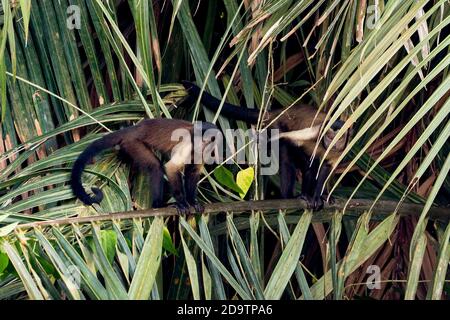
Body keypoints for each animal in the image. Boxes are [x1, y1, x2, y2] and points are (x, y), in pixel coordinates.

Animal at [70, 118, 220, 215]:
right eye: (198, 139)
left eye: (205, 140)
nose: (200, 144)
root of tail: (134, 129)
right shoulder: (188, 142)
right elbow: (171, 168)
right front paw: (182, 203)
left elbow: (193, 171)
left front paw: (192, 201)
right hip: (133, 143)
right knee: (156, 167)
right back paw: (159, 205)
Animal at [183, 80, 352, 210]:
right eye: (330, 136)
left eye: (340, 138)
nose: (333, 142)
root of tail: (279, 111)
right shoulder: (315, 133)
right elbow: (296, 148)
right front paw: (309, 194)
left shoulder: (339, 151)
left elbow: (326, 168)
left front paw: (320, 195)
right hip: (278, 124)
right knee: (289, 157)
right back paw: (291, 196)